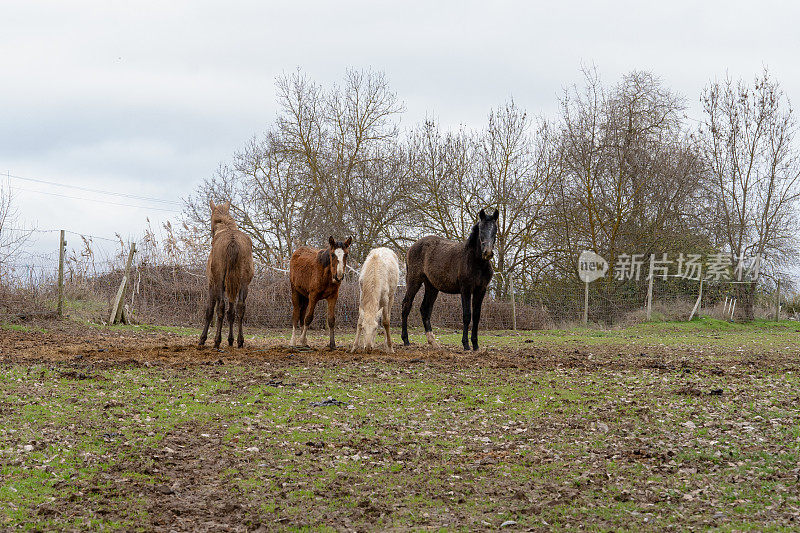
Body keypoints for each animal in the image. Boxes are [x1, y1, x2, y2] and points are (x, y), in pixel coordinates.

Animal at [197, 200, 253, 350]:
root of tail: (233, 242)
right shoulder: (232, 286)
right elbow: (231, 313)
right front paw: (230, 339)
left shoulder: (212, 284)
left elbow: (210, 311)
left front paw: (203, 339)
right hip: (243, 284)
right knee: (240, 308)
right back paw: (240, 340)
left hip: (220, 281)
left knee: (220, 307)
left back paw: (217, 340)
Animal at [400, 207, 500, 350]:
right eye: (481, 230)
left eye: (495, 230)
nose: (488, 252)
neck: (476, 262)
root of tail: (412, 247)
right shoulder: (465, 289)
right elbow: (467, 315)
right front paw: (466, 345)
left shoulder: (481, 290)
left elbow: (476, 316)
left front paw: (475, 346)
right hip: (414, 281)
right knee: (406, 305)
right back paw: (406, 340)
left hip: (431, 286)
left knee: (425, 309)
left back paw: (433, 342)